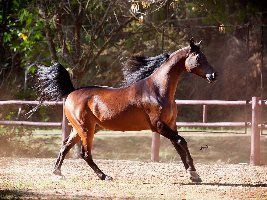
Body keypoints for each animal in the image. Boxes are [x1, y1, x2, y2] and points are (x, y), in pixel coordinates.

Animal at [36, 38, 218, 183]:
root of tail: (72, 92)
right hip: (86, 129)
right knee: (85, 153)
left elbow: (179, 145)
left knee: (65, 146)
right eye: (199, 58)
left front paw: (193, 175)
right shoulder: (159, 126)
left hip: (81, 129)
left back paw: (57, 172)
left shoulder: (171, 125)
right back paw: (104, 176)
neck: (157, 90)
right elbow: (182, 141)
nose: (213, 76)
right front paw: (193, 173)